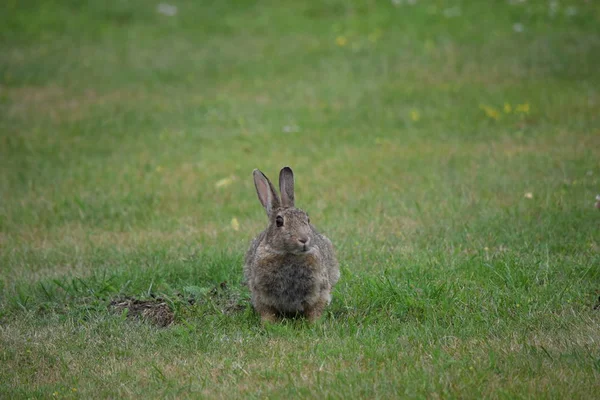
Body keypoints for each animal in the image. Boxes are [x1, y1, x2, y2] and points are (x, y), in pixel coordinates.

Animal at [243, 167, 338, 324]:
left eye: (307, 219)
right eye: (279, 221)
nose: (304, 239)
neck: (288, 254)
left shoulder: (320, 290)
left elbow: (315, 310)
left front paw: (315, 324)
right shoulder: (260, 295)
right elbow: (267, 312)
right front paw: (268, 325)